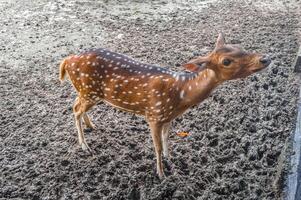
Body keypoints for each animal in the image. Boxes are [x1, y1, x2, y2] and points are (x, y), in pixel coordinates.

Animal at [58, 34, 270, 178]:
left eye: (239, 46)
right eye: (226, 61)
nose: (265, 58)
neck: (182, 95)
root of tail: (67, 60)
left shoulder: (168, 117)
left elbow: (167, 139)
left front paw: (170, 158)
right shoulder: (154, 114)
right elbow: (157, 146)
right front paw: (161, 174)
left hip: (88, 93)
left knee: (77, 105)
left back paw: (91, 125)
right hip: (89, 91)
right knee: (75, 109)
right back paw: (84, 145)